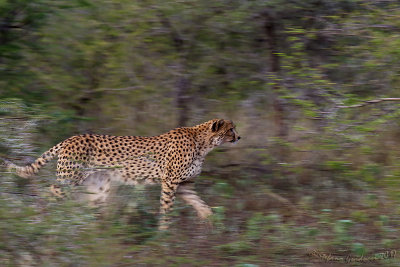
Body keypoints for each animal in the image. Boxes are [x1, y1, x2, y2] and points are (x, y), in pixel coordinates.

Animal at [6, 119, 241, 230]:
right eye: (230, 129)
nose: (239, 137)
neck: (204, 144)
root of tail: (70, 138)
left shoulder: (184, 185)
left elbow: (202, 206)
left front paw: (213, 225)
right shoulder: (170, 182)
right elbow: (166, 209)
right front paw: (163, 234)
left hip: (97, 187)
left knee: (88, 208)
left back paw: (90, 232)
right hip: (69, 179)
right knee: (50, 192)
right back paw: (42, 220)